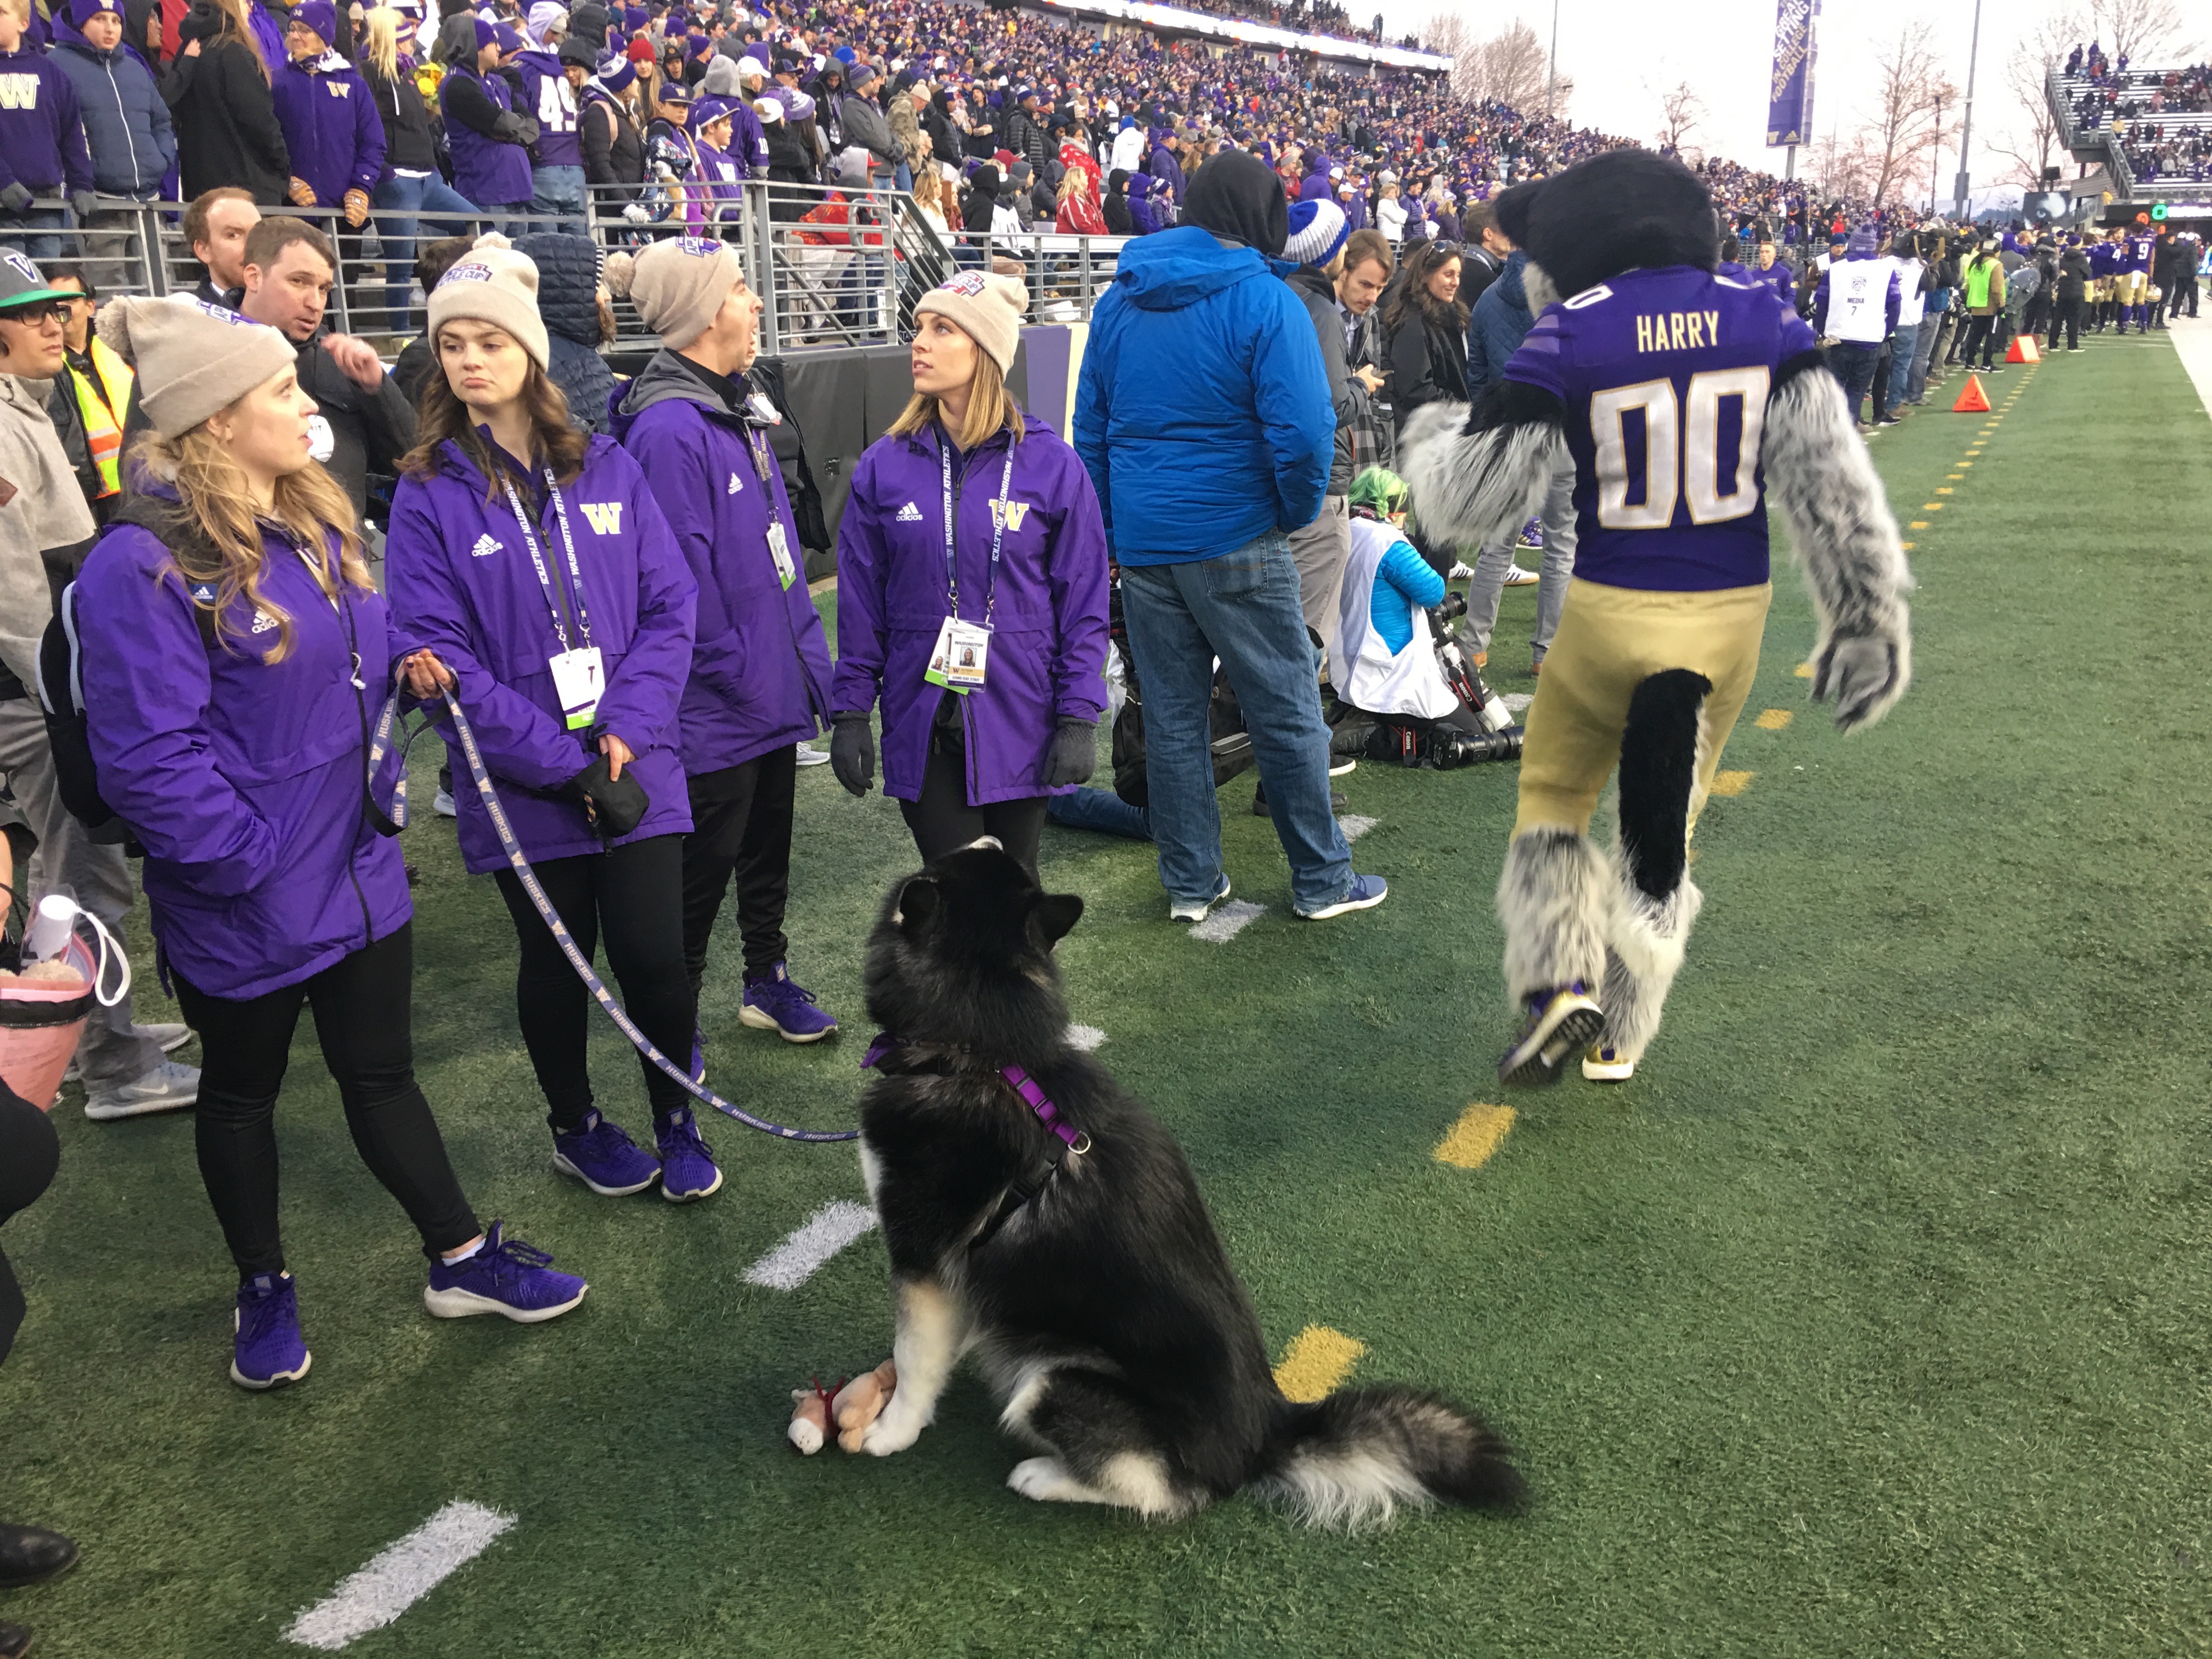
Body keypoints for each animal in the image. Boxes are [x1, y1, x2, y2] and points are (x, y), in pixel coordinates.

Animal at [849, 845, 1522, 1531]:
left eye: (952, 859)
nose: (988, 839)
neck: (982, 1052)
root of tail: (1268, 1431)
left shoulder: (922, 1256)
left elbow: (914, 1357)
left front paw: (891, 1429)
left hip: (1052, 1378)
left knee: (1169, 1491)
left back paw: (1044, 1476)